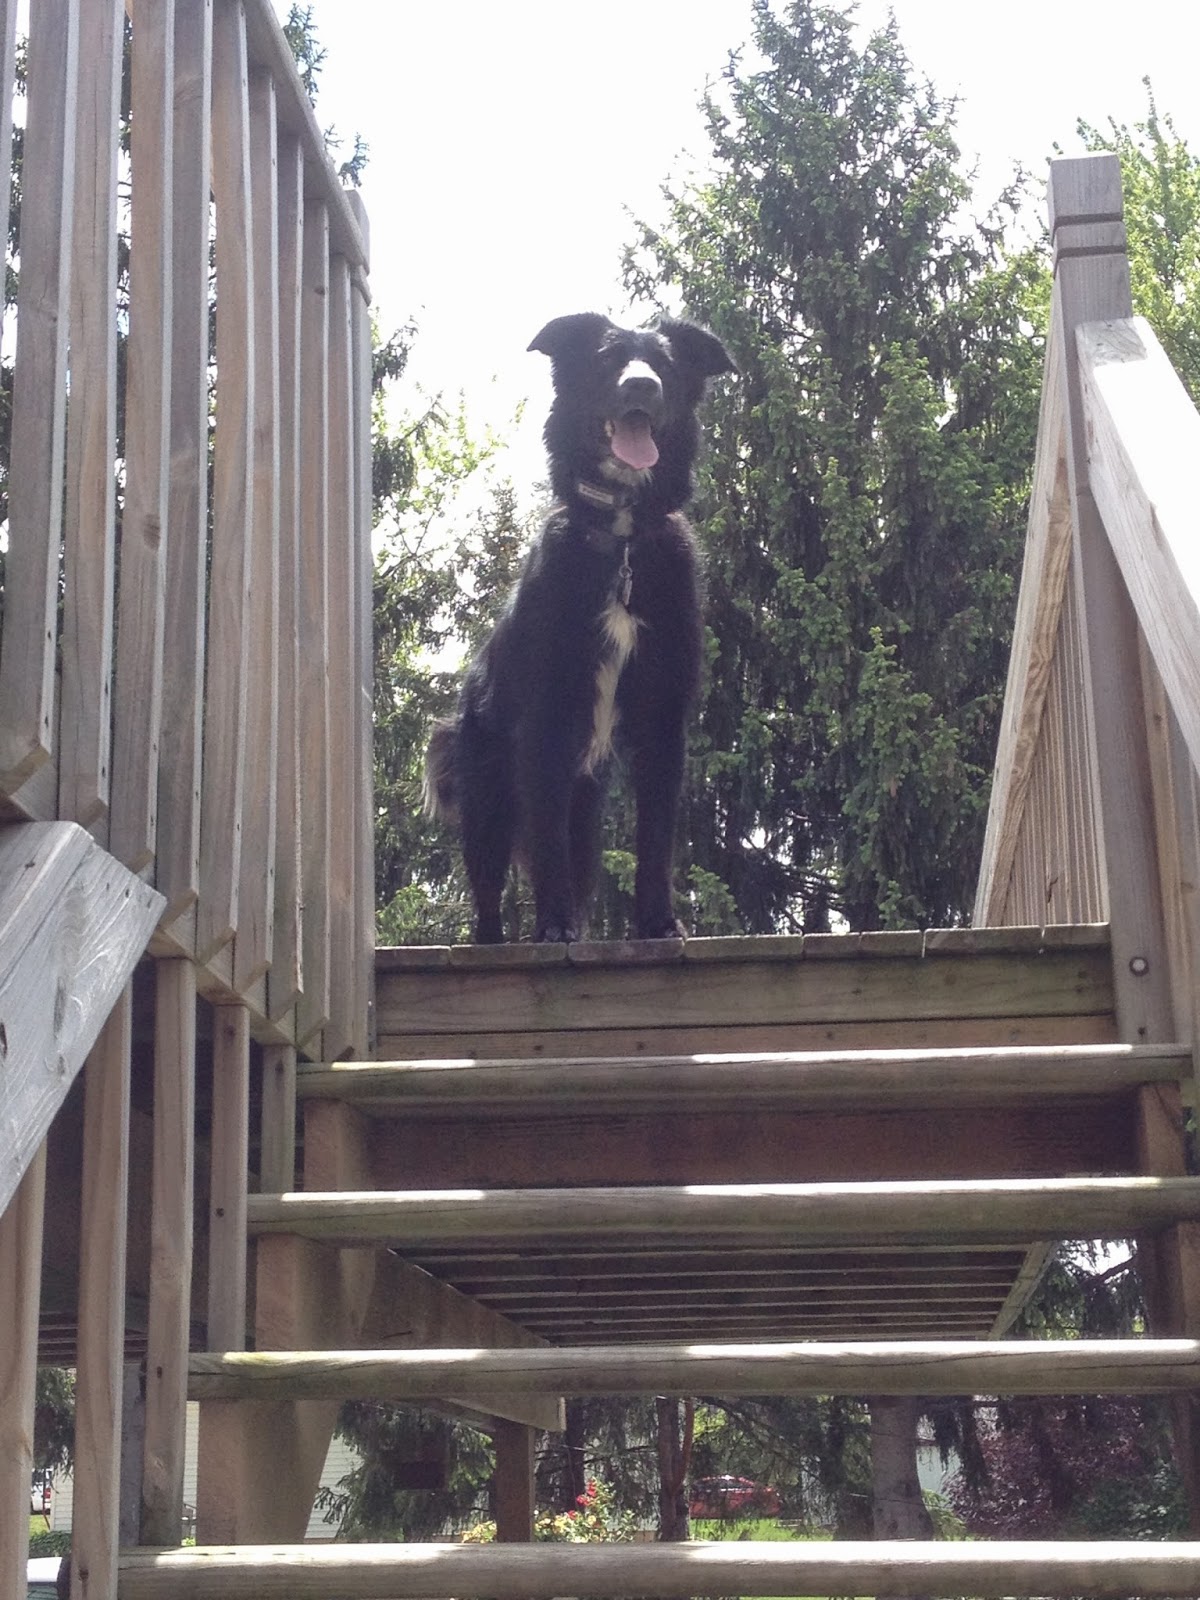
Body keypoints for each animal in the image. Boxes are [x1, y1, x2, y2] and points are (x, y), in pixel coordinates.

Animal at [425, 311, 734, 944]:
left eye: (664, 364)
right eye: (607, 359)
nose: (642, 386)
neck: (621, 544)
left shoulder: (663, 716)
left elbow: (655, 834)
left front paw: (658, 922)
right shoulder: (546, 719)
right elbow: (546, 844)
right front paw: (552, 928)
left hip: (586, 811)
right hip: (488, 799)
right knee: (489, 890)